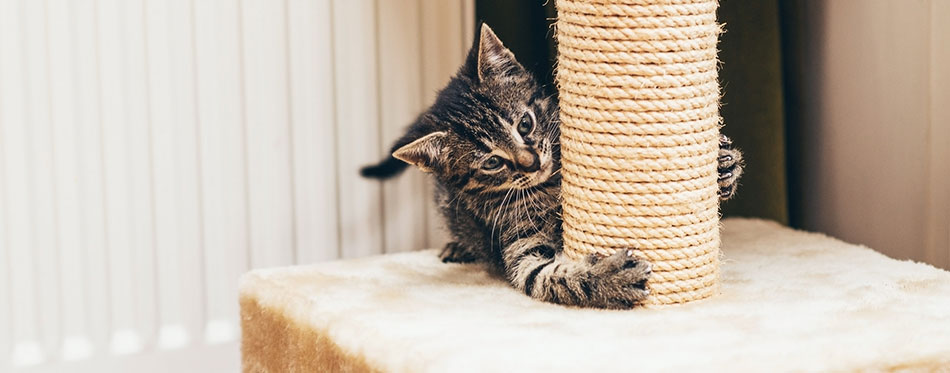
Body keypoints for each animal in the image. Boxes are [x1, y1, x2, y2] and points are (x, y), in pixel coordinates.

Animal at [362, 24, 744, 308]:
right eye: (492, 162)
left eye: (525, 124)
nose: (531, 163)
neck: (550, 183)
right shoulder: (519, 245)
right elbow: (550, 277)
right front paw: (610, 278)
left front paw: (723, 167)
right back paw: (458, 246)